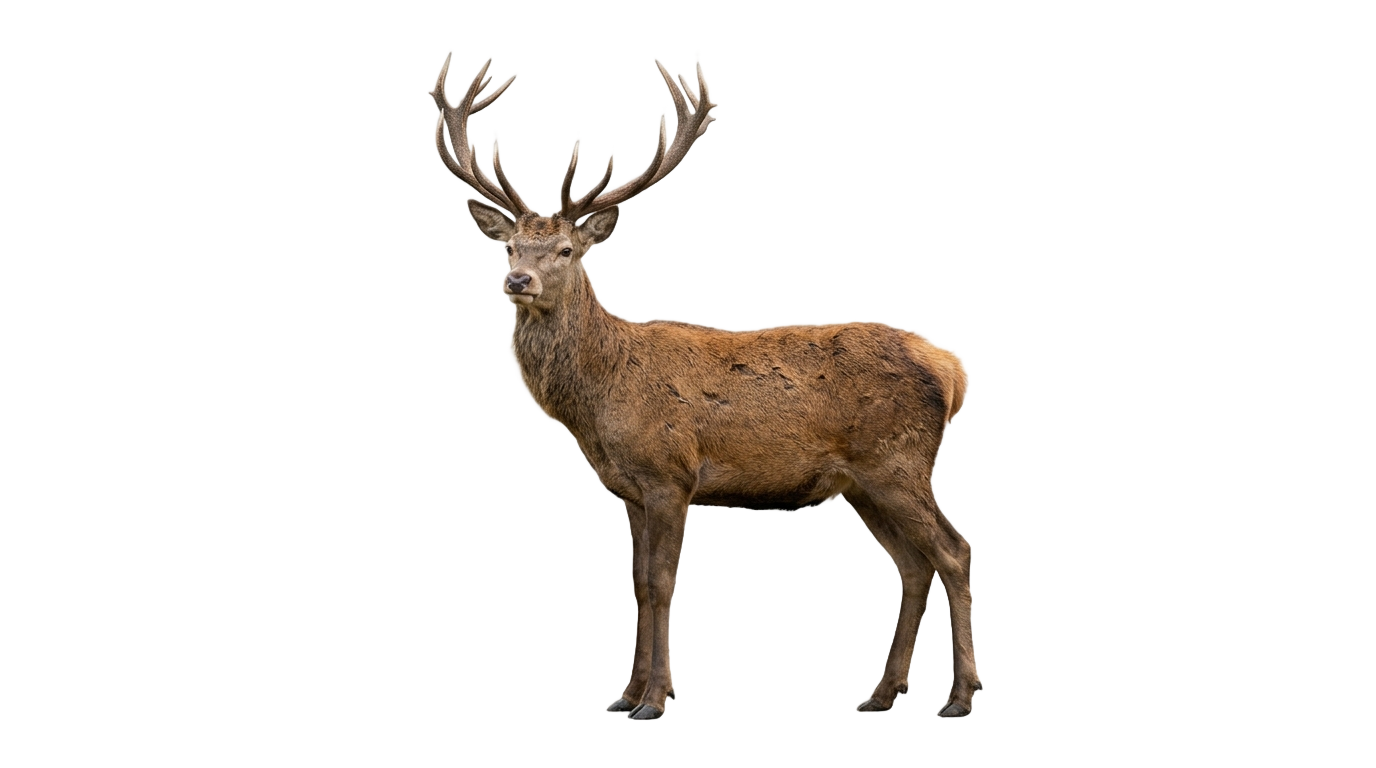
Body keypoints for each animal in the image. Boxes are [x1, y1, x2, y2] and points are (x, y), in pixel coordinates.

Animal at [431, 55, 979, 723]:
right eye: (509, 245)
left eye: (565, 249)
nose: (518, 280)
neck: (599, 406)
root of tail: (950, 368)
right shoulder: (626, 489)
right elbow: (636, 584)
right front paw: (625, 695)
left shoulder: (671, 475)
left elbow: (664, 584)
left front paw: (656, 701)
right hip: (863, 484)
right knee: (912, 565)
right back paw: (882, 695)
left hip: (897, 460)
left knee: (953, 553)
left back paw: (960, 699)